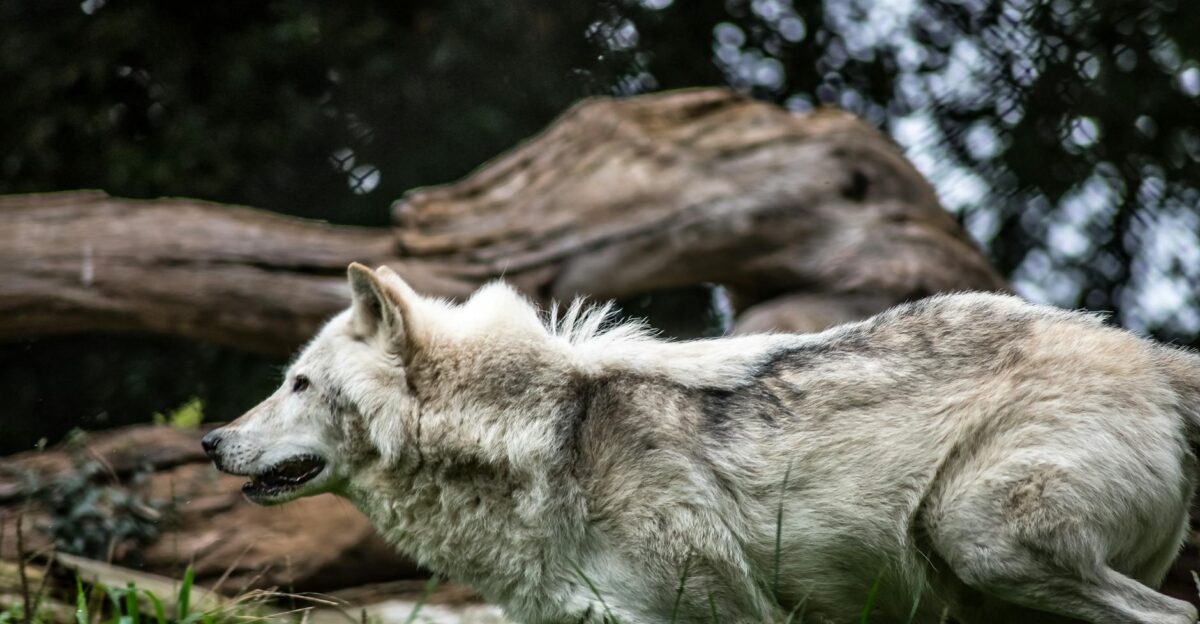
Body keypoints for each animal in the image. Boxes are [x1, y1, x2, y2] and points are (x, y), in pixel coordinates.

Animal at [203, 263, 1200, 624]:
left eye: (297, 384)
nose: (211, 439)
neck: (538, 440)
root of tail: (1148, 352)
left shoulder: (729, 615)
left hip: (979, 540)